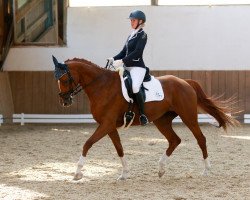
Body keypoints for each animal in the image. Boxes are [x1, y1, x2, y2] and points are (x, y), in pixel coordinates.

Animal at [51, 55, 239, 180]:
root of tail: (185, 81)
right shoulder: (109, 126)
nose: (64, 101)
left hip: (188, 117)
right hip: (162, 120)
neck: (101, 85)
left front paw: (77, 172)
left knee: (201, 139)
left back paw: (206, 170)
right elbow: (119, 149)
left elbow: (87, 143)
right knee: (174, 140)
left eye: (64, 79)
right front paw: (124, 174)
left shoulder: (106, 124)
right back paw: (161, 169)